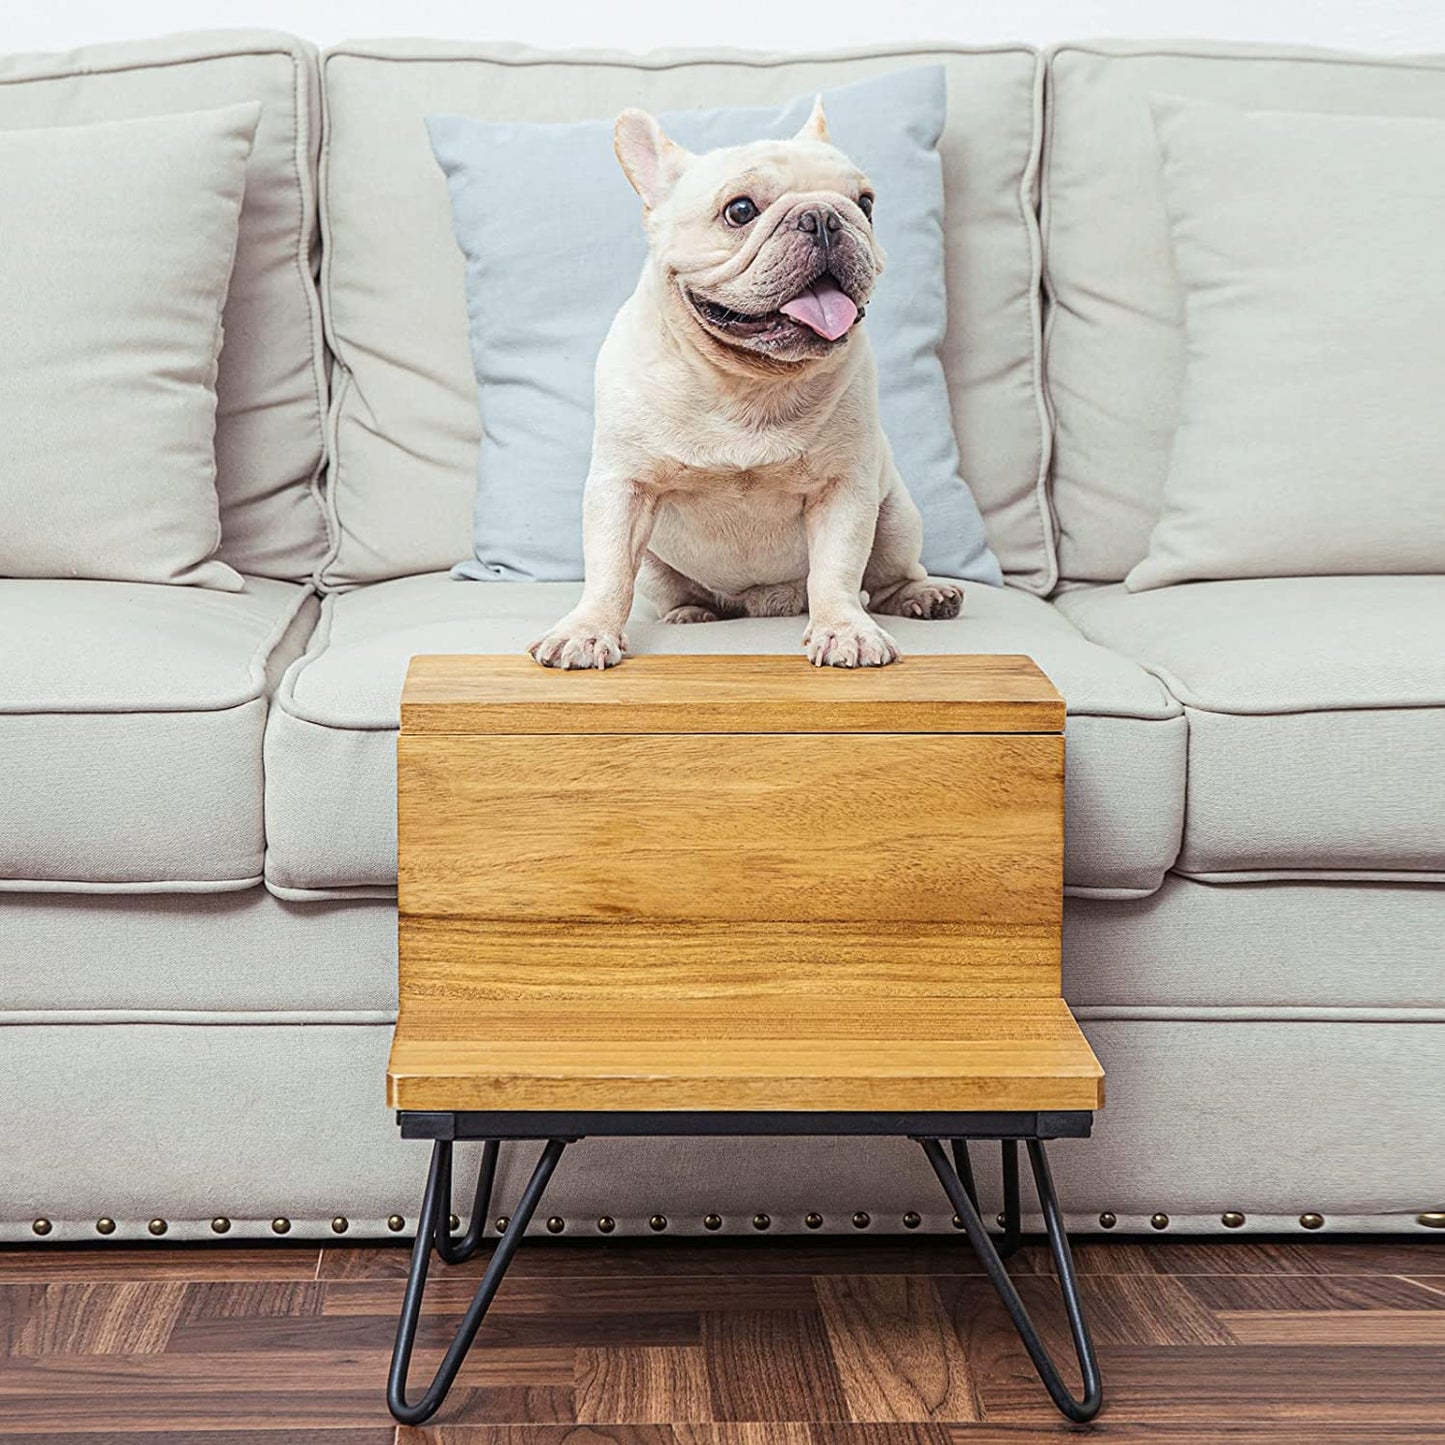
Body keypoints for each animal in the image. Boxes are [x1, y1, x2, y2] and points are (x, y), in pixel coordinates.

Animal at [528, 98, 959, 673]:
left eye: (866, 205)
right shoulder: (623, 488)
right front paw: (588, 630)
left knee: (887, 575)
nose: (823, 217)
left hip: (894, 518)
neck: (748, 382)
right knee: (671, 587)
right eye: (739, 211)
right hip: (659, 568)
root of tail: (762, 601)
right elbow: (609, 569)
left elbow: (838, 569)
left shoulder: (844, 490)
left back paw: (923, 596)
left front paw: (845, 630)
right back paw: (692, 612)